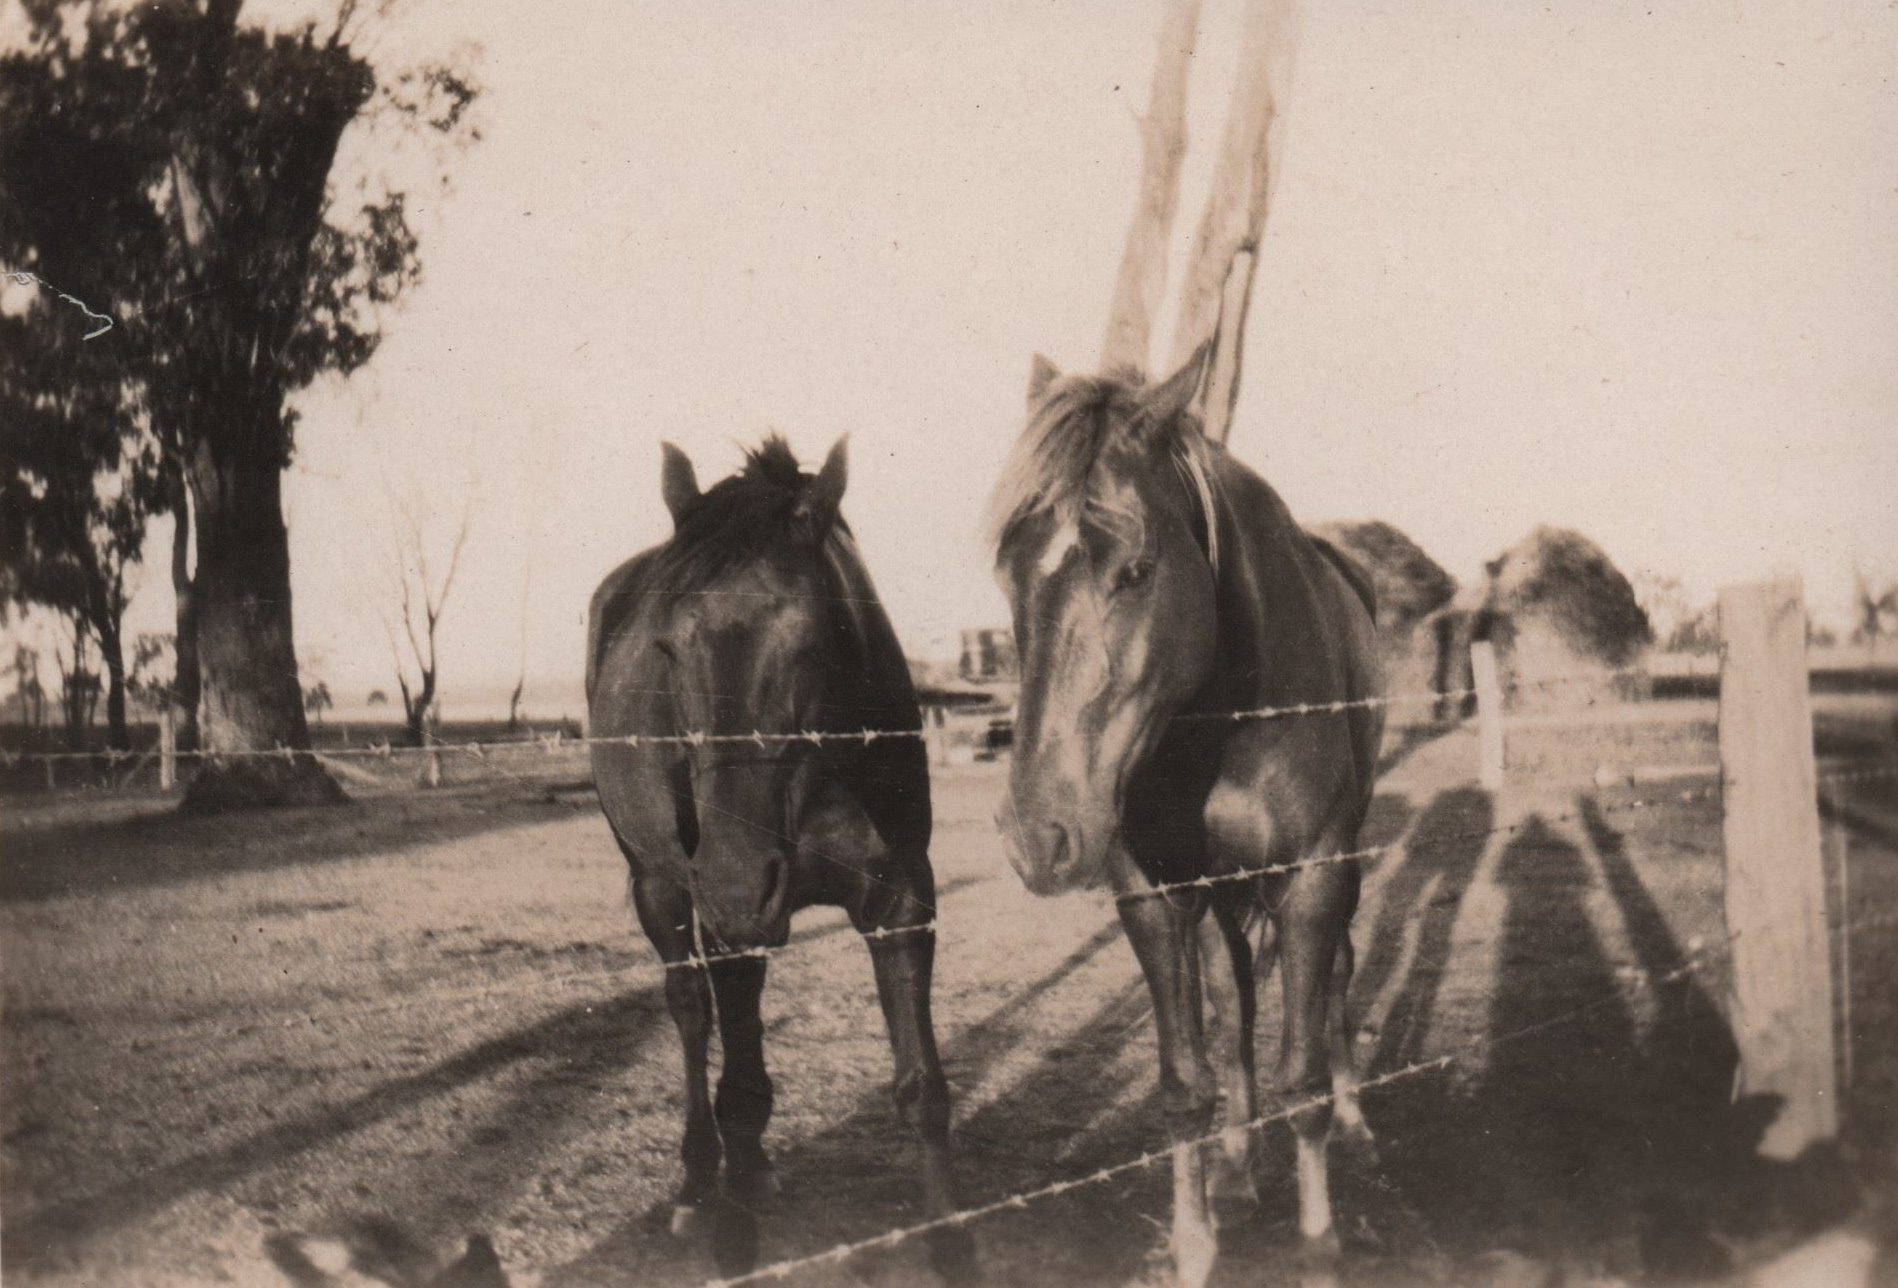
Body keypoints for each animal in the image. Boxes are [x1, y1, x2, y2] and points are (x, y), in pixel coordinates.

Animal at [586, 436, 973, 1281]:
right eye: (666, 647)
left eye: (814, 640)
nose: (735, 885)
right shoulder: (723, 913)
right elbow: (735, 1092)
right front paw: (734, 1242)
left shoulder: (902, 901)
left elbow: (922, 1087)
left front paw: (951, 1243)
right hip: (660, 886)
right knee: (692, 1012)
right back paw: (699, 1181)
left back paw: (752, 1168)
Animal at [987, 347, 1384, 1287]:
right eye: (1008, 572)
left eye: (1133, 569)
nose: (1038, 837)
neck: (1221, 714)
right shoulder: (1156, 898)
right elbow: (1185, 1083)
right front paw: (1198, 1239)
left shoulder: (1314, 878)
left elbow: (1302, 1077)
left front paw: (1319, 1244)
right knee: (1235, 1001)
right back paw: (1238, 1168)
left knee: (1338, 979)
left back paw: (1357, 1123)